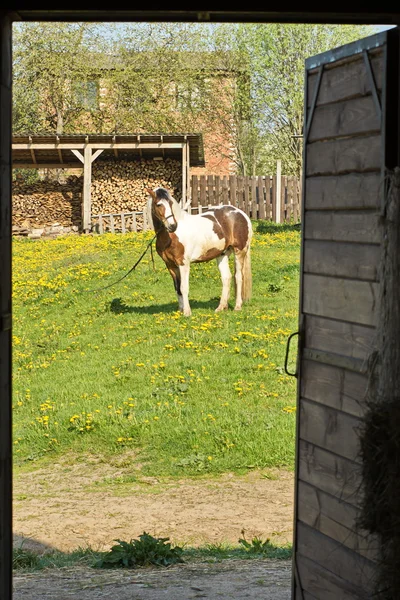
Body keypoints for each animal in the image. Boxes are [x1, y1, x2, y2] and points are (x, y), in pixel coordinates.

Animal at [147, 188, 253, 318]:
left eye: (171, 203)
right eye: (158, 204)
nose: (172, 226)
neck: (171, 236)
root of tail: (241, 214)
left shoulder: (183, 264)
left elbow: (184, 287)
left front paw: (187, 312)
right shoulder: (170, 265)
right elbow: (177, 288)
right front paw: (180, 310)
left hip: (239, 252)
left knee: (238, 277)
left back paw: (237, 306)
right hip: (222, 254)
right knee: (226, 277)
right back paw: (221, 307)